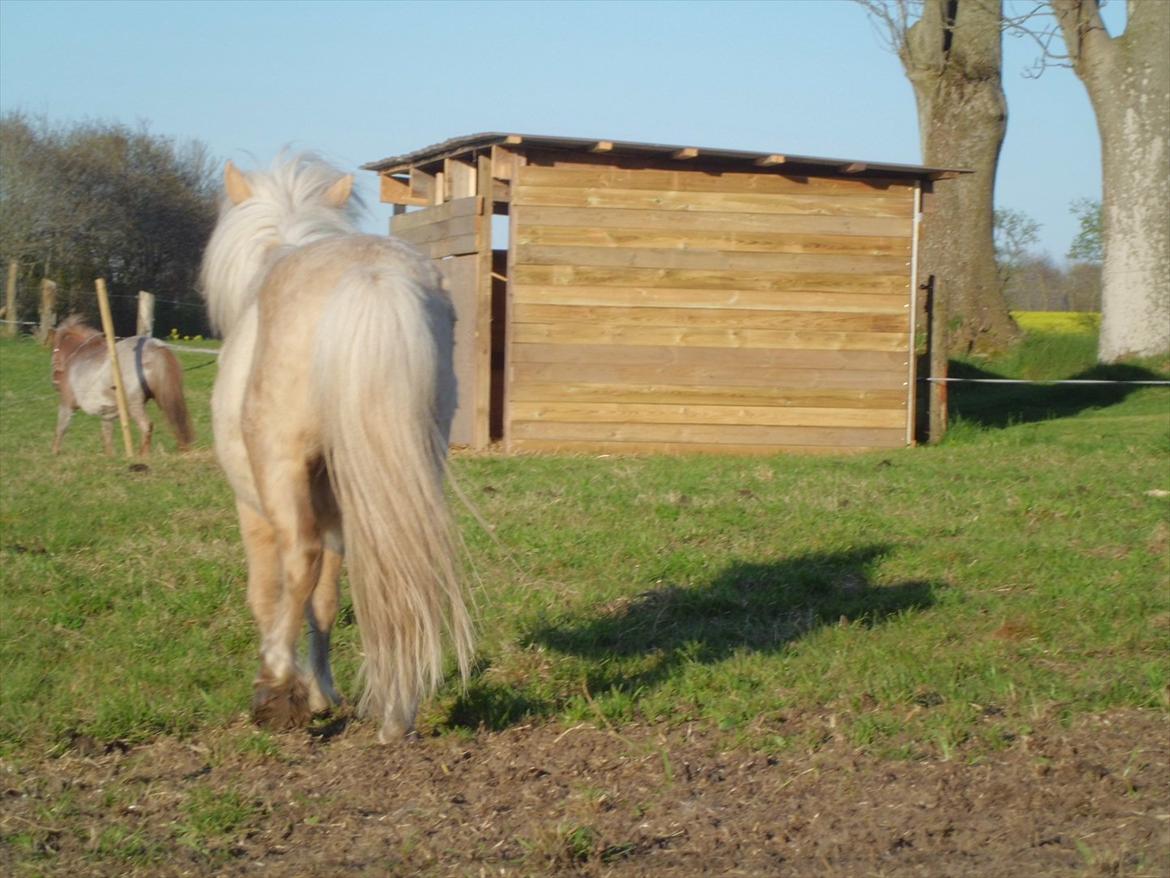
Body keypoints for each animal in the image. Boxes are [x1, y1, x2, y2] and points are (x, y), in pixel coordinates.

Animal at [50, 313, 195, 454]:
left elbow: (60, 430)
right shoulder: (107, 414)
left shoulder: (67, 405)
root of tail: (154, 347)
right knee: (176, 422)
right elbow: (107, 438)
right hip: (165, 398)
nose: (55, 381)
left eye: (54, 352)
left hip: (135, 405)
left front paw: (54, 453)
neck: (78, 357)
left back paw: (141, 456)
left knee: (147, 426)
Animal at [198, 153, 472, 744]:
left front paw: (292, 686)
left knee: (298, 560)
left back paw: (277, 682)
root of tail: (371, 276)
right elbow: (325, 601)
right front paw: (323, 693)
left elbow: (270, 592)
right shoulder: (337, 514)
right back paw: (396, 714)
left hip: (280, 472)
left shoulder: (253, 506)